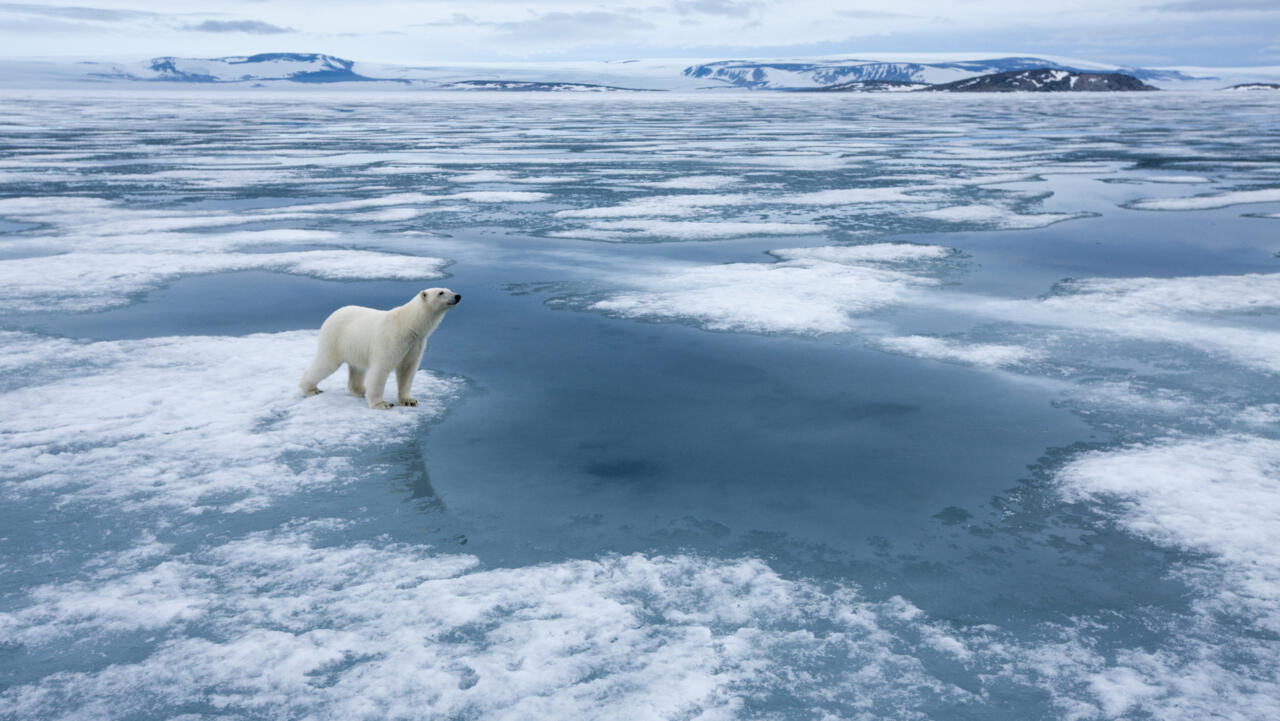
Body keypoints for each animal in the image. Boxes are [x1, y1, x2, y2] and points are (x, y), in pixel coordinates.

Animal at [299, 289, 460, 412]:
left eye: (449, 289)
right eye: (441, 292)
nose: (458, 296)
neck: (408, 324)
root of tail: (332, 314)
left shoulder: (415, 344)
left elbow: (408, 369)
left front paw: (409, 400)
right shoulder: (392, 339)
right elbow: (381, 368)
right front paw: (382, 404)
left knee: (357, 369)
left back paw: (361, 390)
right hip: (335, 339)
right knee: (326, 363)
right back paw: (311, 389)